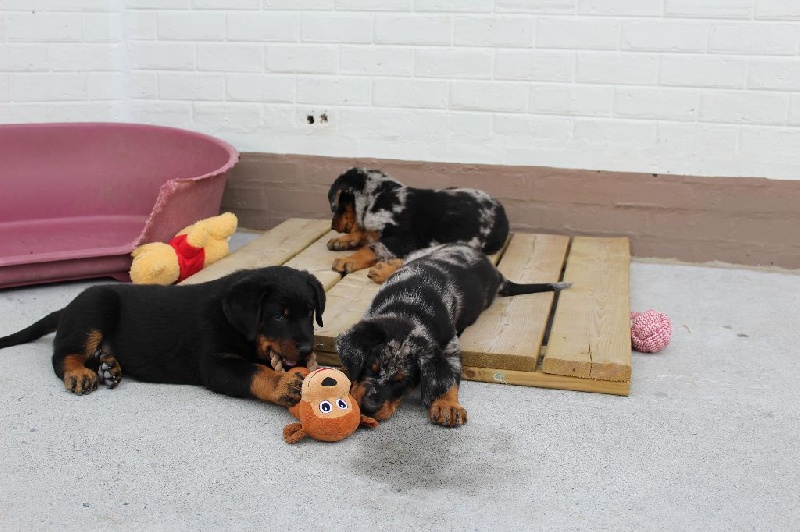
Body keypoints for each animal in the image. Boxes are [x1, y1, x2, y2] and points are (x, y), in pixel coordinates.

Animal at [0, 267, 325, 407]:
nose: (307, 348)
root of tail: (67, 307)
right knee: (62, 354)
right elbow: (255, 372)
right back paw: (79, 373)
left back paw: (109, 367)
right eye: (279, 316)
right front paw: (283, 384)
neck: (231, 320)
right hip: (97, 304)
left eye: (310, 312)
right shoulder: (214, 364)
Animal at [327, 167, 510, 283]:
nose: (333, 226)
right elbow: (365, 233)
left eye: (339, 205)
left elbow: (371, 248)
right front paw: (343, 240)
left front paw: (347, 260)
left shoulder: (402, 240)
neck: (380, 197)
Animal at [335, 243, 570, 427]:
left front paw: (447, 405)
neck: (410, 305)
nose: (368, 408)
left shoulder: (450, 348)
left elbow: (447, 378)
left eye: (402, 381)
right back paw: (383, 269)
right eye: (370, 368)